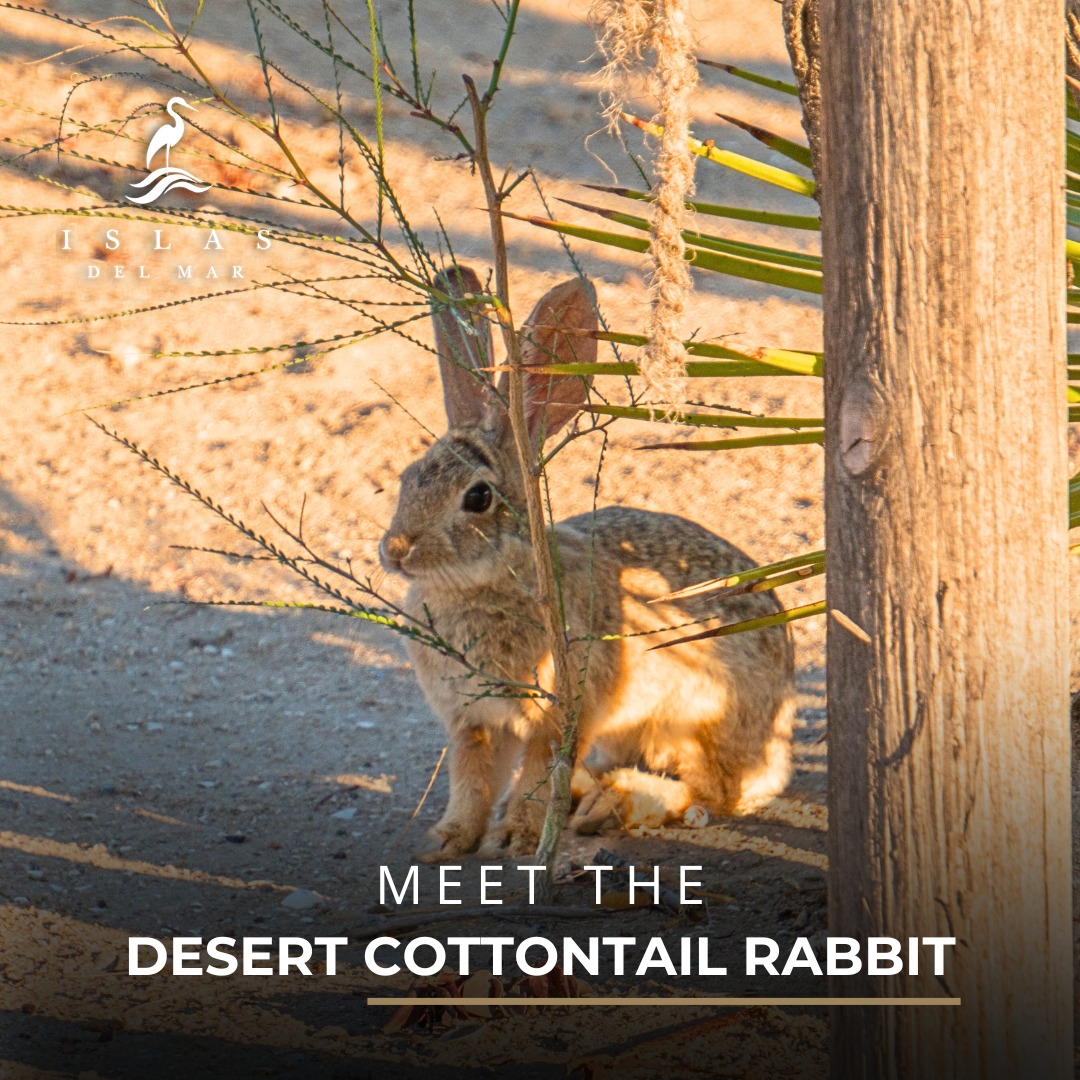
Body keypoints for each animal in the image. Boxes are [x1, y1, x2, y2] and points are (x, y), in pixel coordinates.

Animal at [378, 265, 796, 859]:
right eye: (408, 477)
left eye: (477, 498)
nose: (395, 551)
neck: (489, 584)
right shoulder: (472, 722)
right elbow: (471, 780)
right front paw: (447, 841)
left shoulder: (559, 713)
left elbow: (535, 774)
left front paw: (516, 837)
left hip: (690, 722)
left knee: (712, 792)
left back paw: (611, 803)